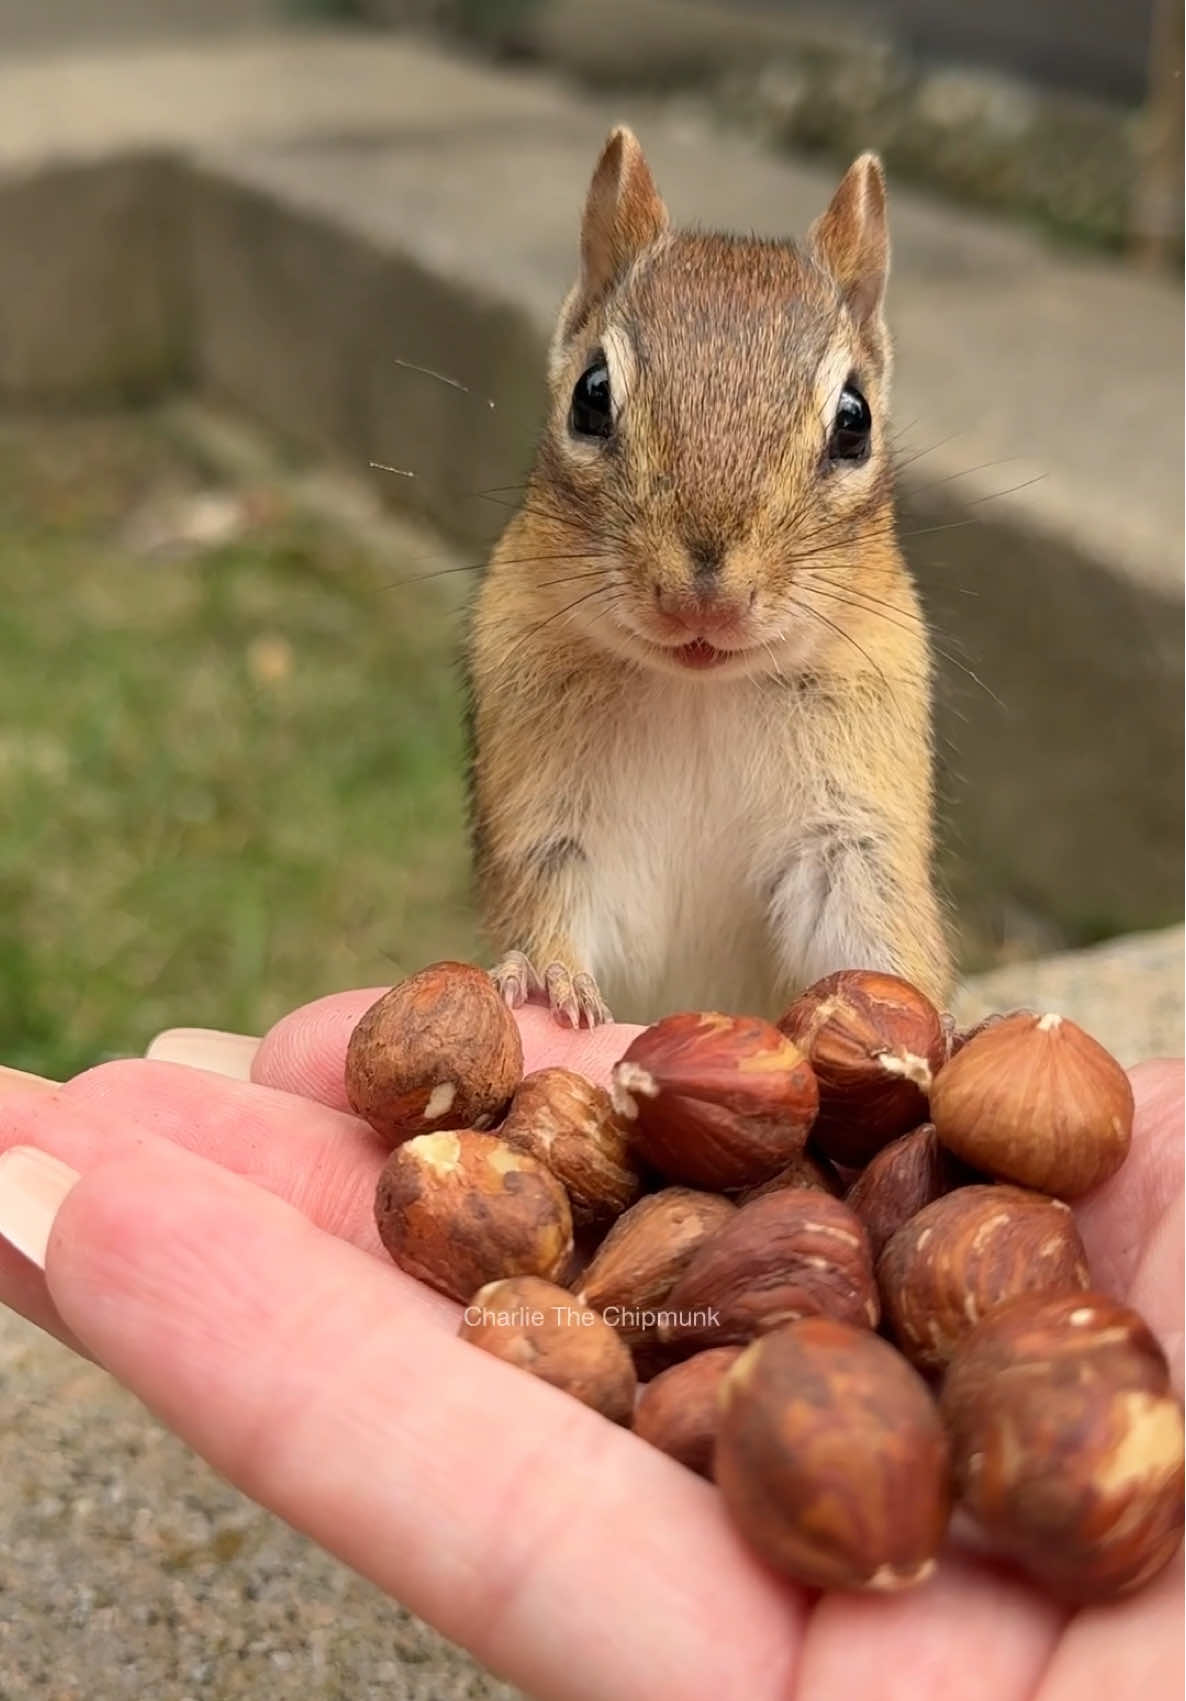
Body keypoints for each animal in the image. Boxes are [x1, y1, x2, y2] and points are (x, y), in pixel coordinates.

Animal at [466, 126, 951, 1028]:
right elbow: (548, 894)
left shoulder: (852, 825)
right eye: (591, 395)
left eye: (855, 419)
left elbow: (867, 918)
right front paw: (548, 973)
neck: (698, 691)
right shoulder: (545, 812)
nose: (706, 599)